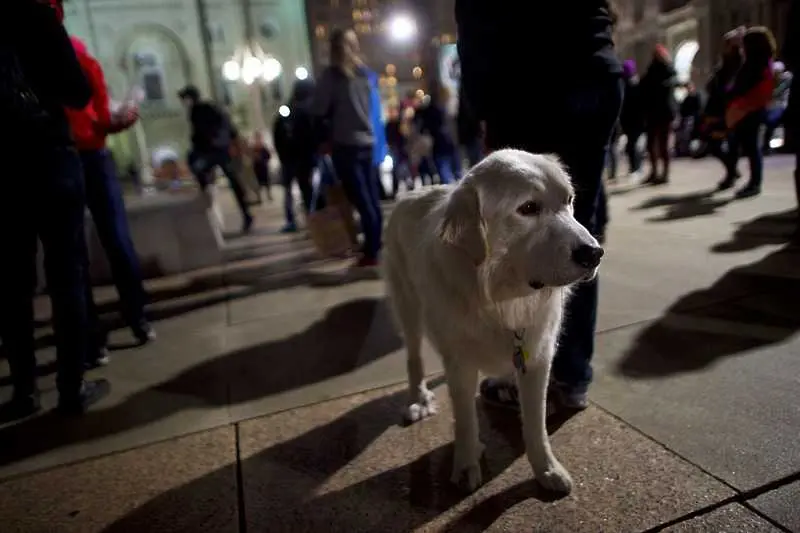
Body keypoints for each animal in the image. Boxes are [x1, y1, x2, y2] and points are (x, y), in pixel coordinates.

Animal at [384, 148, 604, 492]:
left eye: (569, 201)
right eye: (528, 208)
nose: (594, 253)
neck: (502, 300)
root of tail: (410, 192)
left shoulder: (538, 359)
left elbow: (536, 425)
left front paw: (547, 471)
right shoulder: (460, 364)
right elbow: (465, 421)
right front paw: (466, 465)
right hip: (409, 309)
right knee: (414, 358)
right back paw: (418, 400)